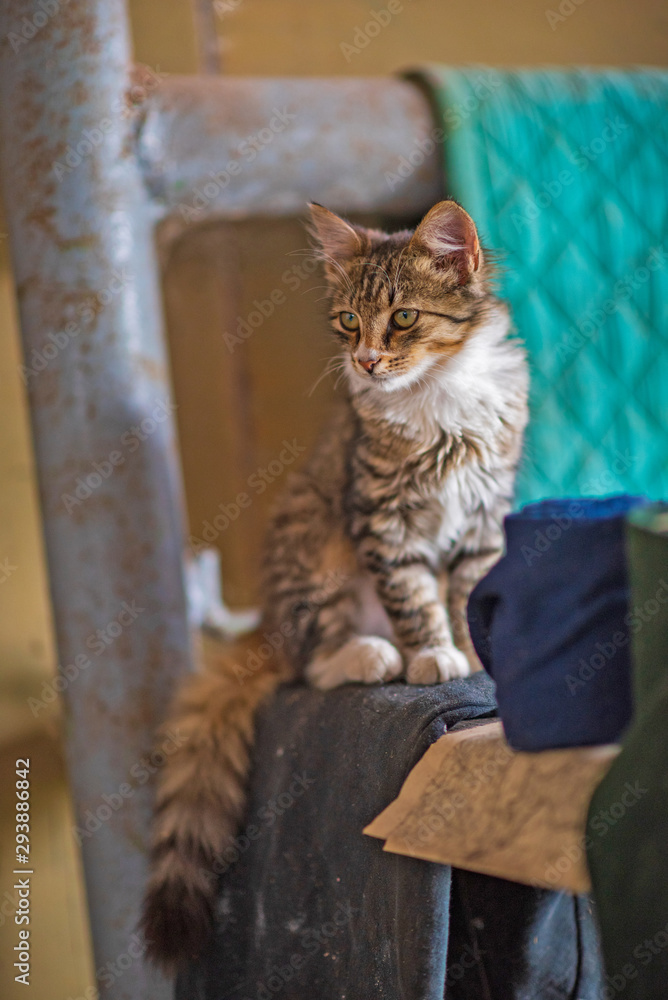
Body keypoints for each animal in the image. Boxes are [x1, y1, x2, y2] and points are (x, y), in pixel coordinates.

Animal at [144, 197, 528, 968]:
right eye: (350, 321)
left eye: (403, 317)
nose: (366, 362)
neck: (439, 397)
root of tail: (268, 622)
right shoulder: (381, 521)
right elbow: (415, 599)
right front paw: (433, 656)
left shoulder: (483, 519)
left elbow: (466, 595)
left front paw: (470, 653)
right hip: (316, 553)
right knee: (310, 666)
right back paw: (371, 654)